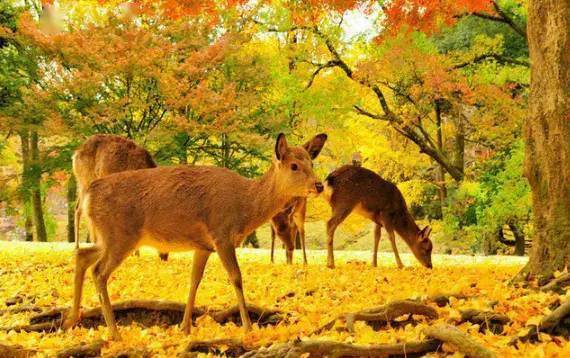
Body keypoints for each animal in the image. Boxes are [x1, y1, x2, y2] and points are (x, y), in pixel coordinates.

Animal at [62, 133, 326, 340]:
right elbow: (236, 278)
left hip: (109, 237)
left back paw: (71, 320)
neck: (245, 206)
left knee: (82, 255)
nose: (319, 185)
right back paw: (114, 332)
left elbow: (194, 280)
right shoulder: (221, 234)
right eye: (294, 165)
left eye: (311, 162)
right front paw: (248, 327)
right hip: (120, 235)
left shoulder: (203, 246)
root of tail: (89, 194)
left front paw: (185, 327)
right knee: (99, 271)